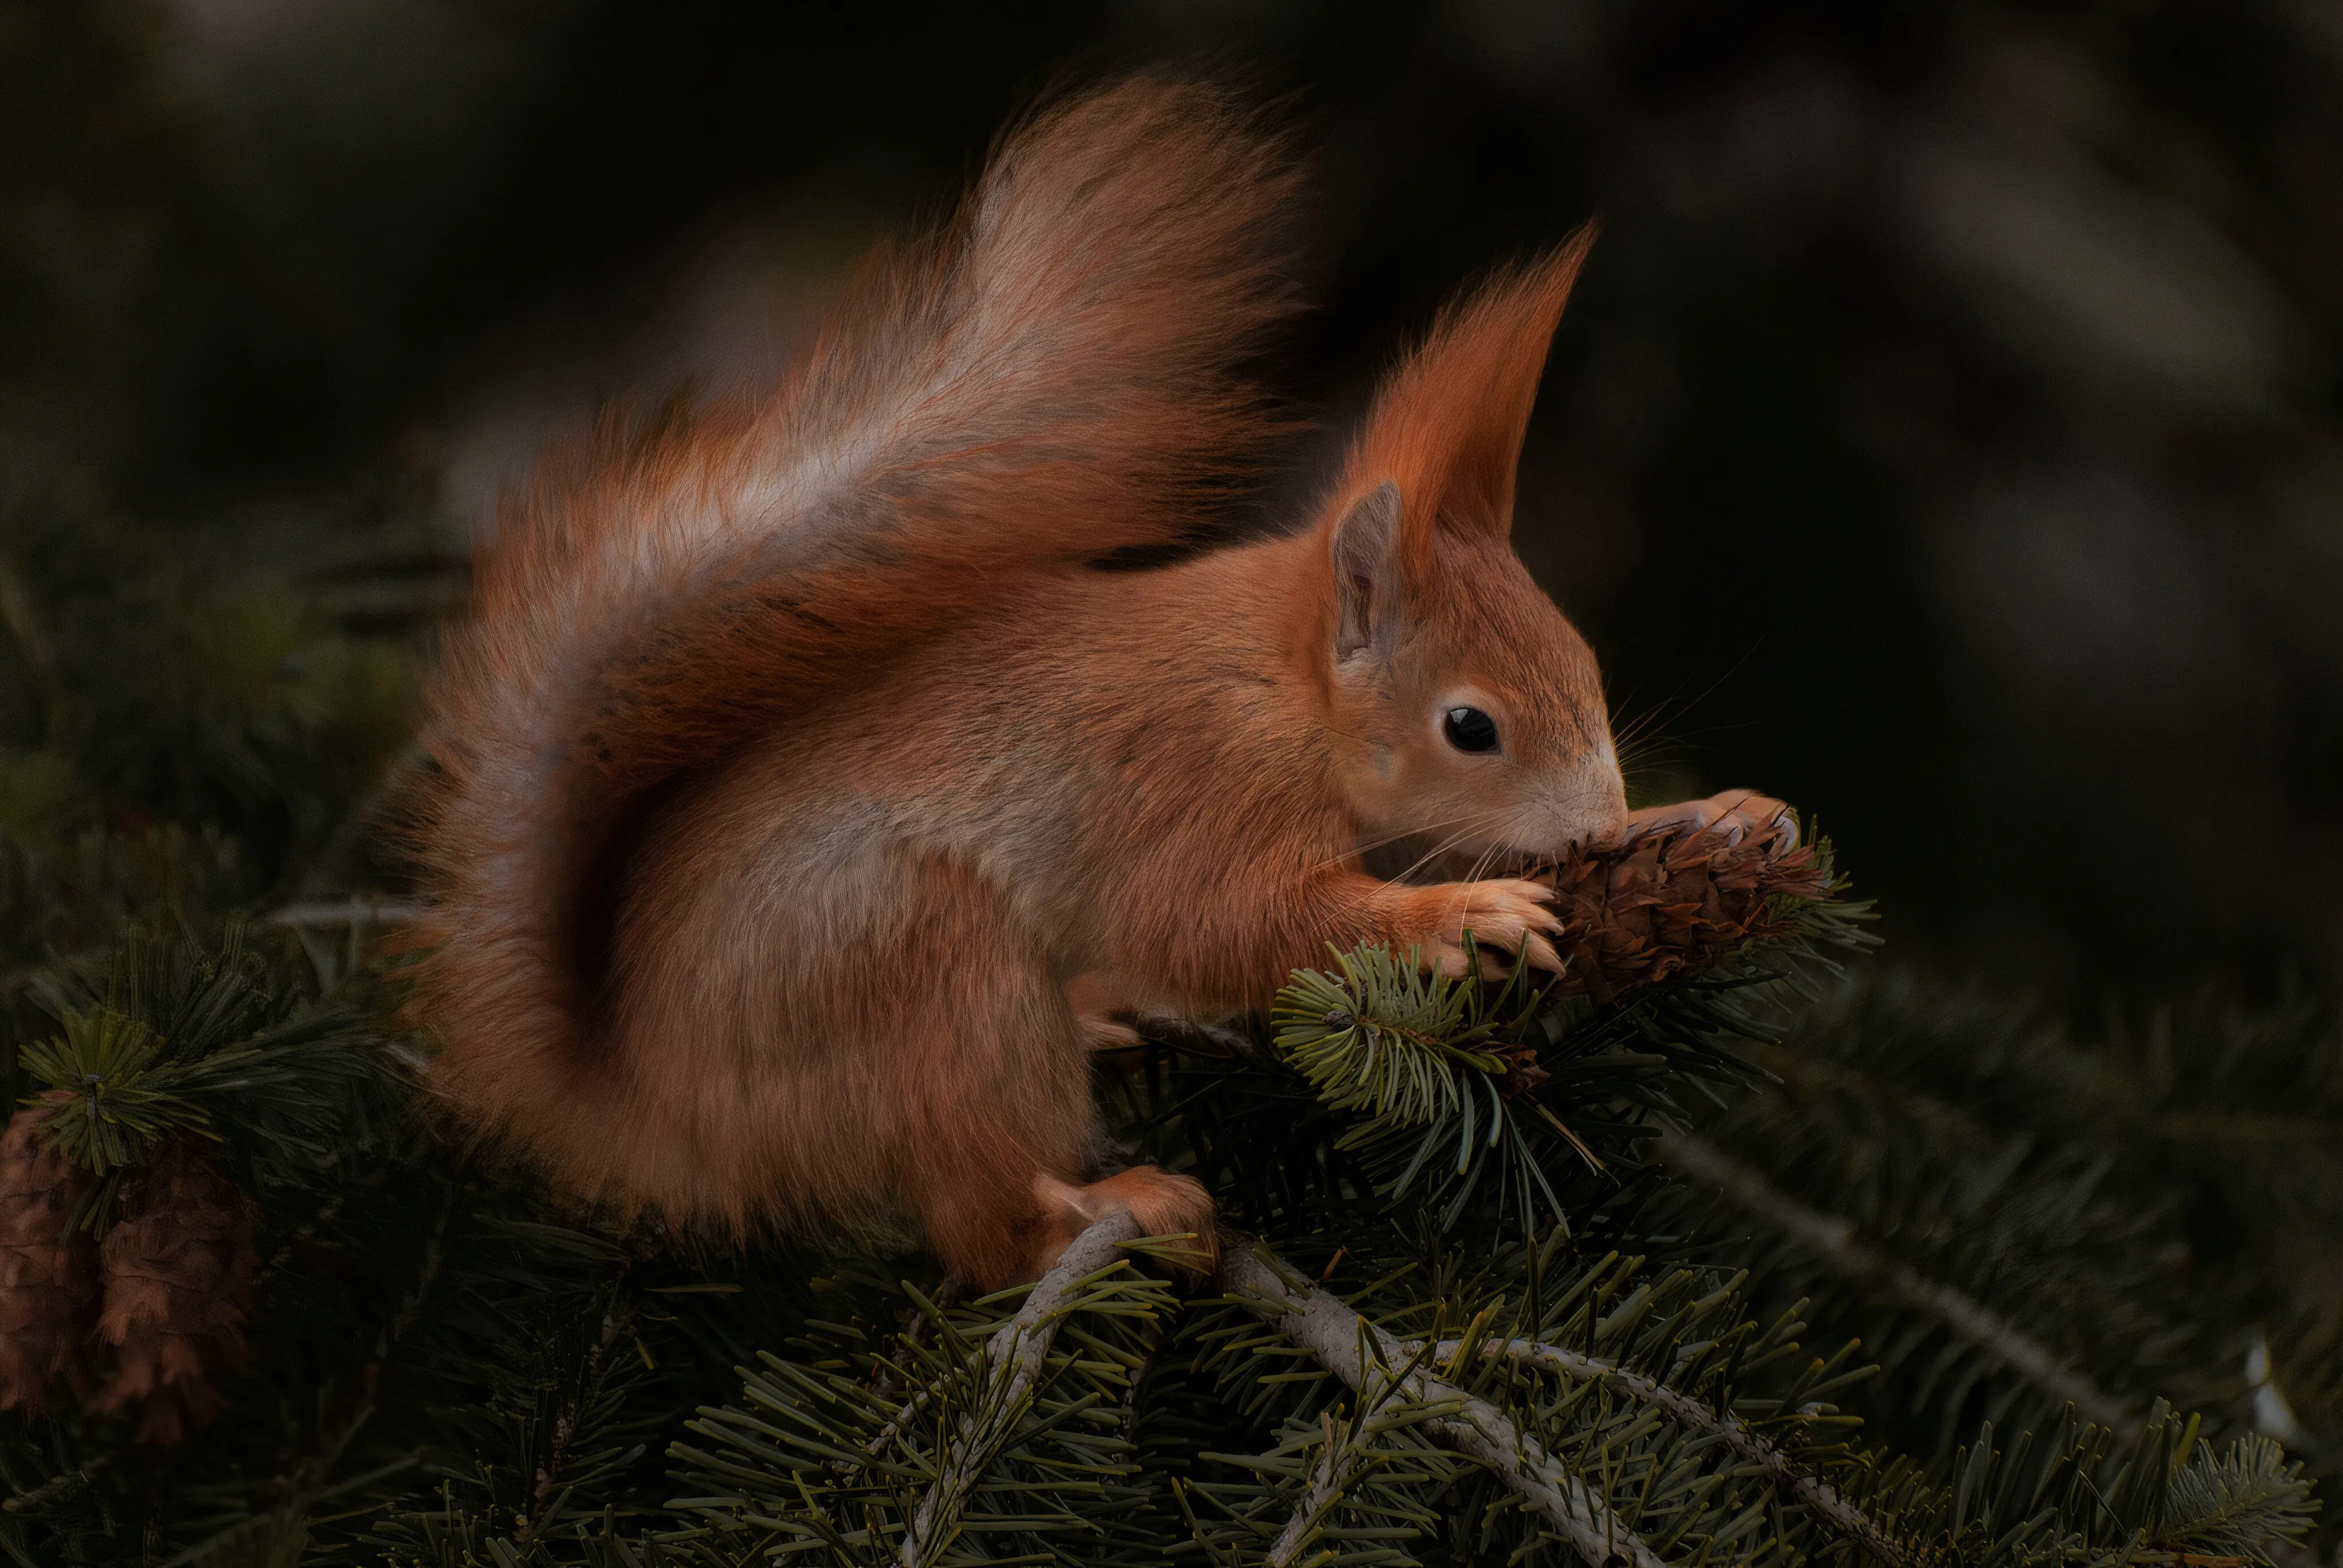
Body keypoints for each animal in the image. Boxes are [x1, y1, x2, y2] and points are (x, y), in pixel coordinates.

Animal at [407, 78, 1791, 1290]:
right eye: (1469, 726)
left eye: (1588, 661)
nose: (1597, 828)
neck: (1285, 688)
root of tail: (659, 1098)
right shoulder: (1200, 777)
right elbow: (1226, 921)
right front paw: (1463, 914)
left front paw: (1711, 819)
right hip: (915, 965)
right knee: (978, 1226)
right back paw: (1104, 1208)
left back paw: (1098, 1023)